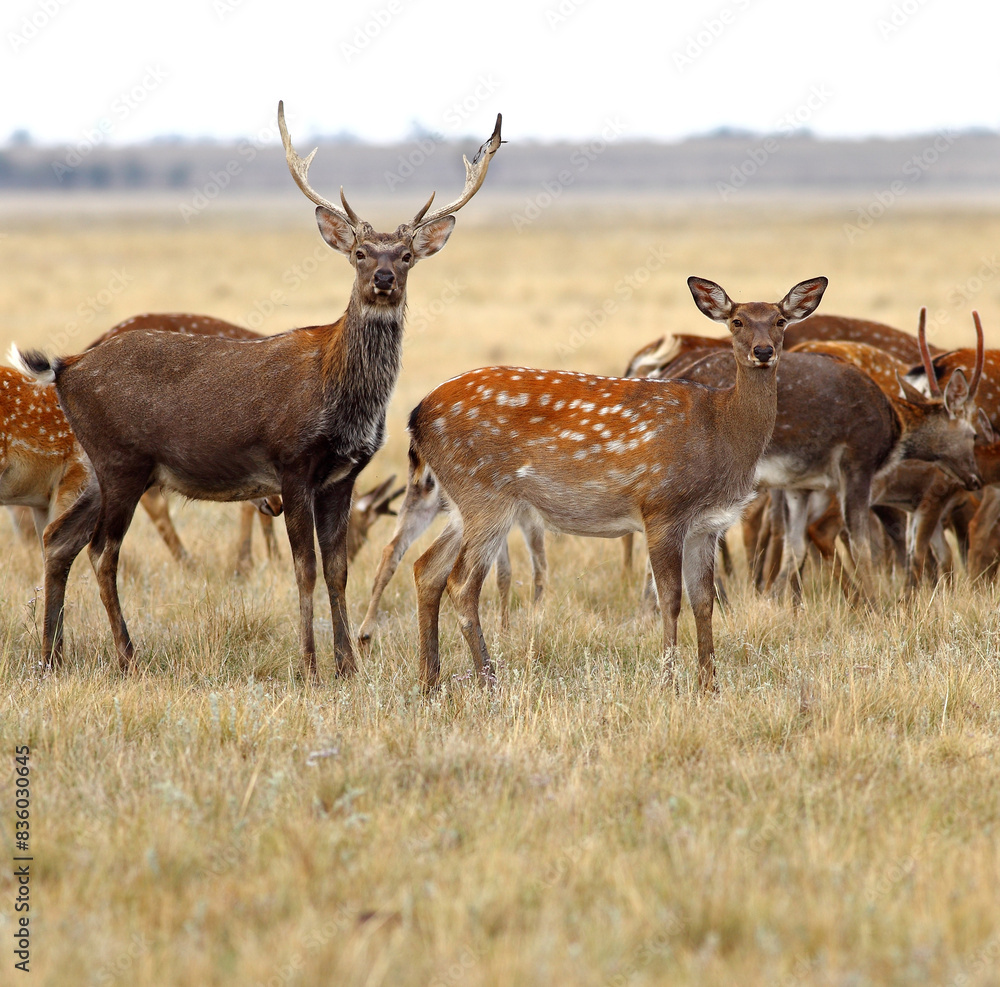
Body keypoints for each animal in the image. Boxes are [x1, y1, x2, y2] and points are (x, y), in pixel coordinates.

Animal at [12, 101, 503, 677]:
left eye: (405, 254)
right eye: (360, 252)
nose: (383, 279)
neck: (341, 398)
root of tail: (66, 367)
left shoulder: (343, 474)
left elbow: (337, 569)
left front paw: (347, 665)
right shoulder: (290, 462)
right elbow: (304, 567)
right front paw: (310, 666)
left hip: (95, 465)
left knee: (59, 539)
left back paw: (52, 656)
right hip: (120, 459)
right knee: (101, 551)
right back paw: (128, 656)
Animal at [406, 276, 829, 693]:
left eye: (779, 320)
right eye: (737, 321)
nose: (763, 350)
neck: (722, 430)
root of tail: (416, 416)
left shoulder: (708, 525)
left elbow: (704, 601)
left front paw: (710, 685)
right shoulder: (662, 507)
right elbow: (670, 599)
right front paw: (668, 682)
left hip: (461, 502)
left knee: (427, 568)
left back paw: (430, 683)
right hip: (485, 492)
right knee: (461, 583)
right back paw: (487, 682)